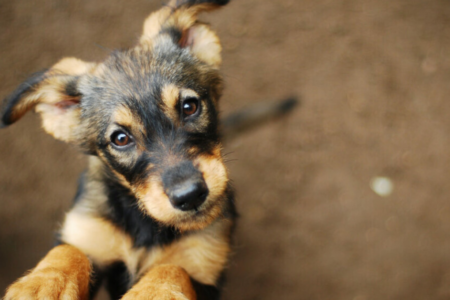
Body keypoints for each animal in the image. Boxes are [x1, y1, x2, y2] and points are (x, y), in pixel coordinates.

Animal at [0, 1, 236, 298]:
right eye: (120, 138)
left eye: (189, 106)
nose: (190, 196)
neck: (145, 223)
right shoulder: (88, 232)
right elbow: (68, 251)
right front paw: (41, 285)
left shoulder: (204, 268)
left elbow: (172, 269)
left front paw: (151, 292)